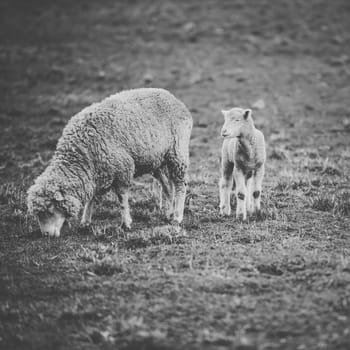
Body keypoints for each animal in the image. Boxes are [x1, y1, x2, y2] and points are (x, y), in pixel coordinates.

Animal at [26, 87, 194, 238]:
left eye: (50, 209)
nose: (46, 235)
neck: (81, 153)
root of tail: (173, 97)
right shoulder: (96, 173)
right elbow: (91, 199)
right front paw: (85, 222)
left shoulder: (123, 169)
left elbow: (122, 198)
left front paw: (126, 223)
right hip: (158, 160)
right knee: (168, 187)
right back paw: (169, 213)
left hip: (177, 151)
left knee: (180, 184)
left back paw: (177, 217)